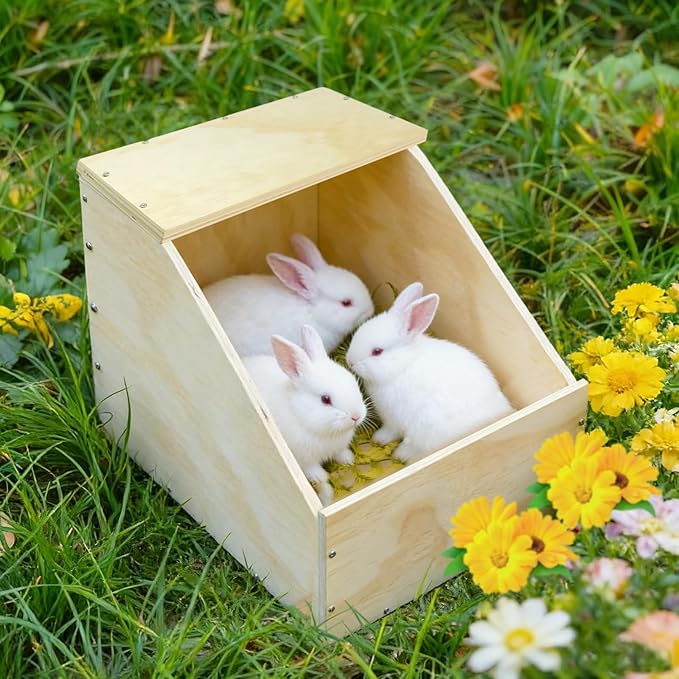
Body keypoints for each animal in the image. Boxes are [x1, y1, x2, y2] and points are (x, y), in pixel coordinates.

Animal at [243, 324, 367, 506]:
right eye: (325, 399)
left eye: (353, 381)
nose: (356, 416)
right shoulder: (305, 460)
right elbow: (314, 470)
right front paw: (321, 478)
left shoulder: (338, 447)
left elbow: (341, 453)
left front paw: (348, 460)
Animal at [345, 282, 514, 464]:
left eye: (377, 351)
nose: (350, 361)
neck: (403, 365)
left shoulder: (394, 419)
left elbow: (390, 431)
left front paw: (378, 438)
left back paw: (400, 454)